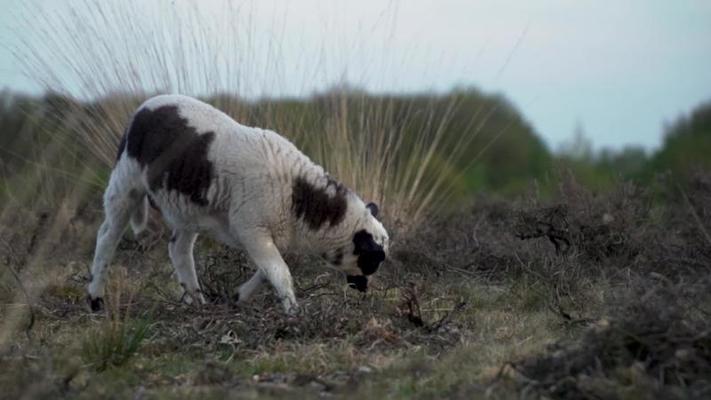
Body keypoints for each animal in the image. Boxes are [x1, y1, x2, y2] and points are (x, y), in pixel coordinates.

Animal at [88, 94, 392, 316]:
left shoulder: (267, 234)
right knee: (106, 237)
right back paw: (95, 299)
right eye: (372, 259)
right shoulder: (251, 228)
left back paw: (197, 301)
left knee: (179, 249)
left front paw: (238, 296)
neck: (298, 194)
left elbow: (269, 270)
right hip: (125, 183)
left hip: (189, 207)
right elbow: (280, 271)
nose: (364, 289)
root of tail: (147, 104)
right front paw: (294, 313)